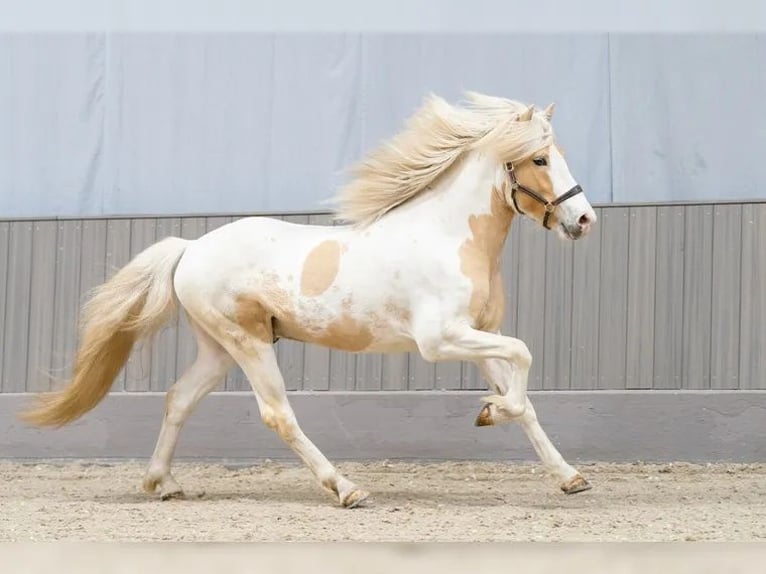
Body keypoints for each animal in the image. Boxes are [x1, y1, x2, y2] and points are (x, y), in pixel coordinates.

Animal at [21, 92, 600, 510]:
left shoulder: (480, 335)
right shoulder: (441, 340)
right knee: (277, 414)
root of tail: (190, 249)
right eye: (540, 158)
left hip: (219, 348)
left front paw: (569, 477)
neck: (448, 235)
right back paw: (347, 489)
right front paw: (489, 413)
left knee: (179, 399)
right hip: (249, 343)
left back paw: (163, 484)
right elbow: (524, 356)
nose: (584, 220)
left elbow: (525, 399)